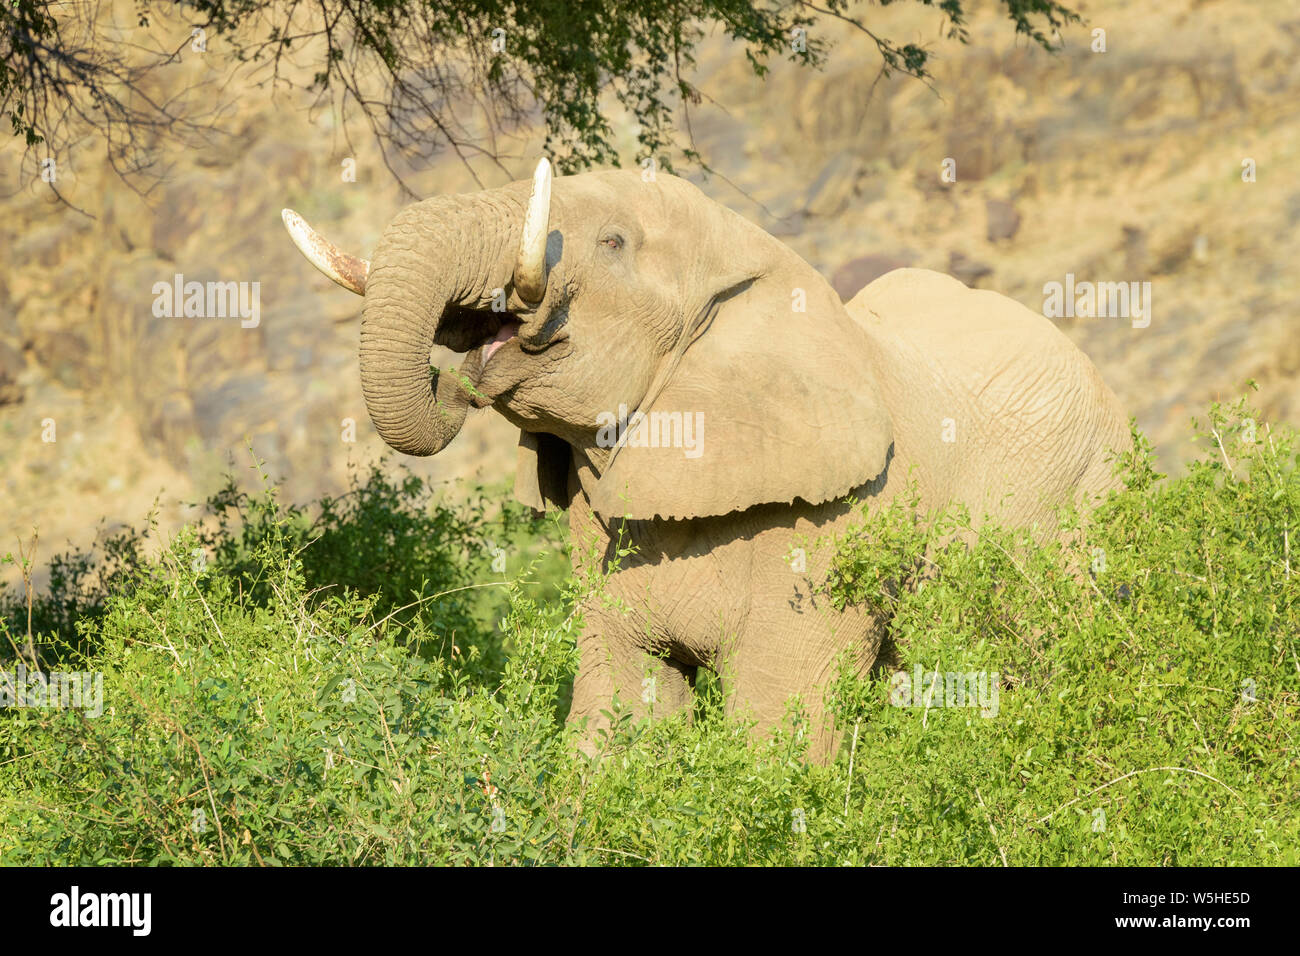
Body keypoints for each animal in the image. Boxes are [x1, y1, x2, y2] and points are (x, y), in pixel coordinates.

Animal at [282, 162, 1128, 764]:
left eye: (613, 243)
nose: (460, 367)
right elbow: (621, 699)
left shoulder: (838, 521)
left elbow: (777, 715)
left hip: (1090, 507)